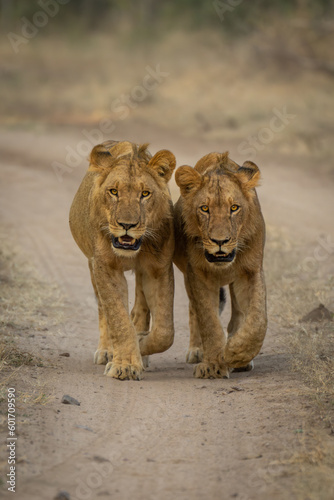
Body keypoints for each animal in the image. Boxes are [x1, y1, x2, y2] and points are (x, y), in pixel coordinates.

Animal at [69, 139, 176, 380]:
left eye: (145, 193)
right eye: (113, 191)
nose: (127, 225)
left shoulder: (158, 268)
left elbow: (165, 331)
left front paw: (141, 344)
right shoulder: (105, 267)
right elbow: (117, 317)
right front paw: (125, 365)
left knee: (141, 308)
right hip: (91, 264)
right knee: (103, 308)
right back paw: (107, 351)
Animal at [174, 152, 268, 378]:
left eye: (234, 208)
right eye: (204, 209)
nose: (220, 241)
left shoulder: (252, 271)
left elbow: (257, 320)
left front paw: (236, 353)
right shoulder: (197, 274)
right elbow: (208, 321)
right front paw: (214, 364)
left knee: (239, 313)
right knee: (194, 310)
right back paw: (197, 350)